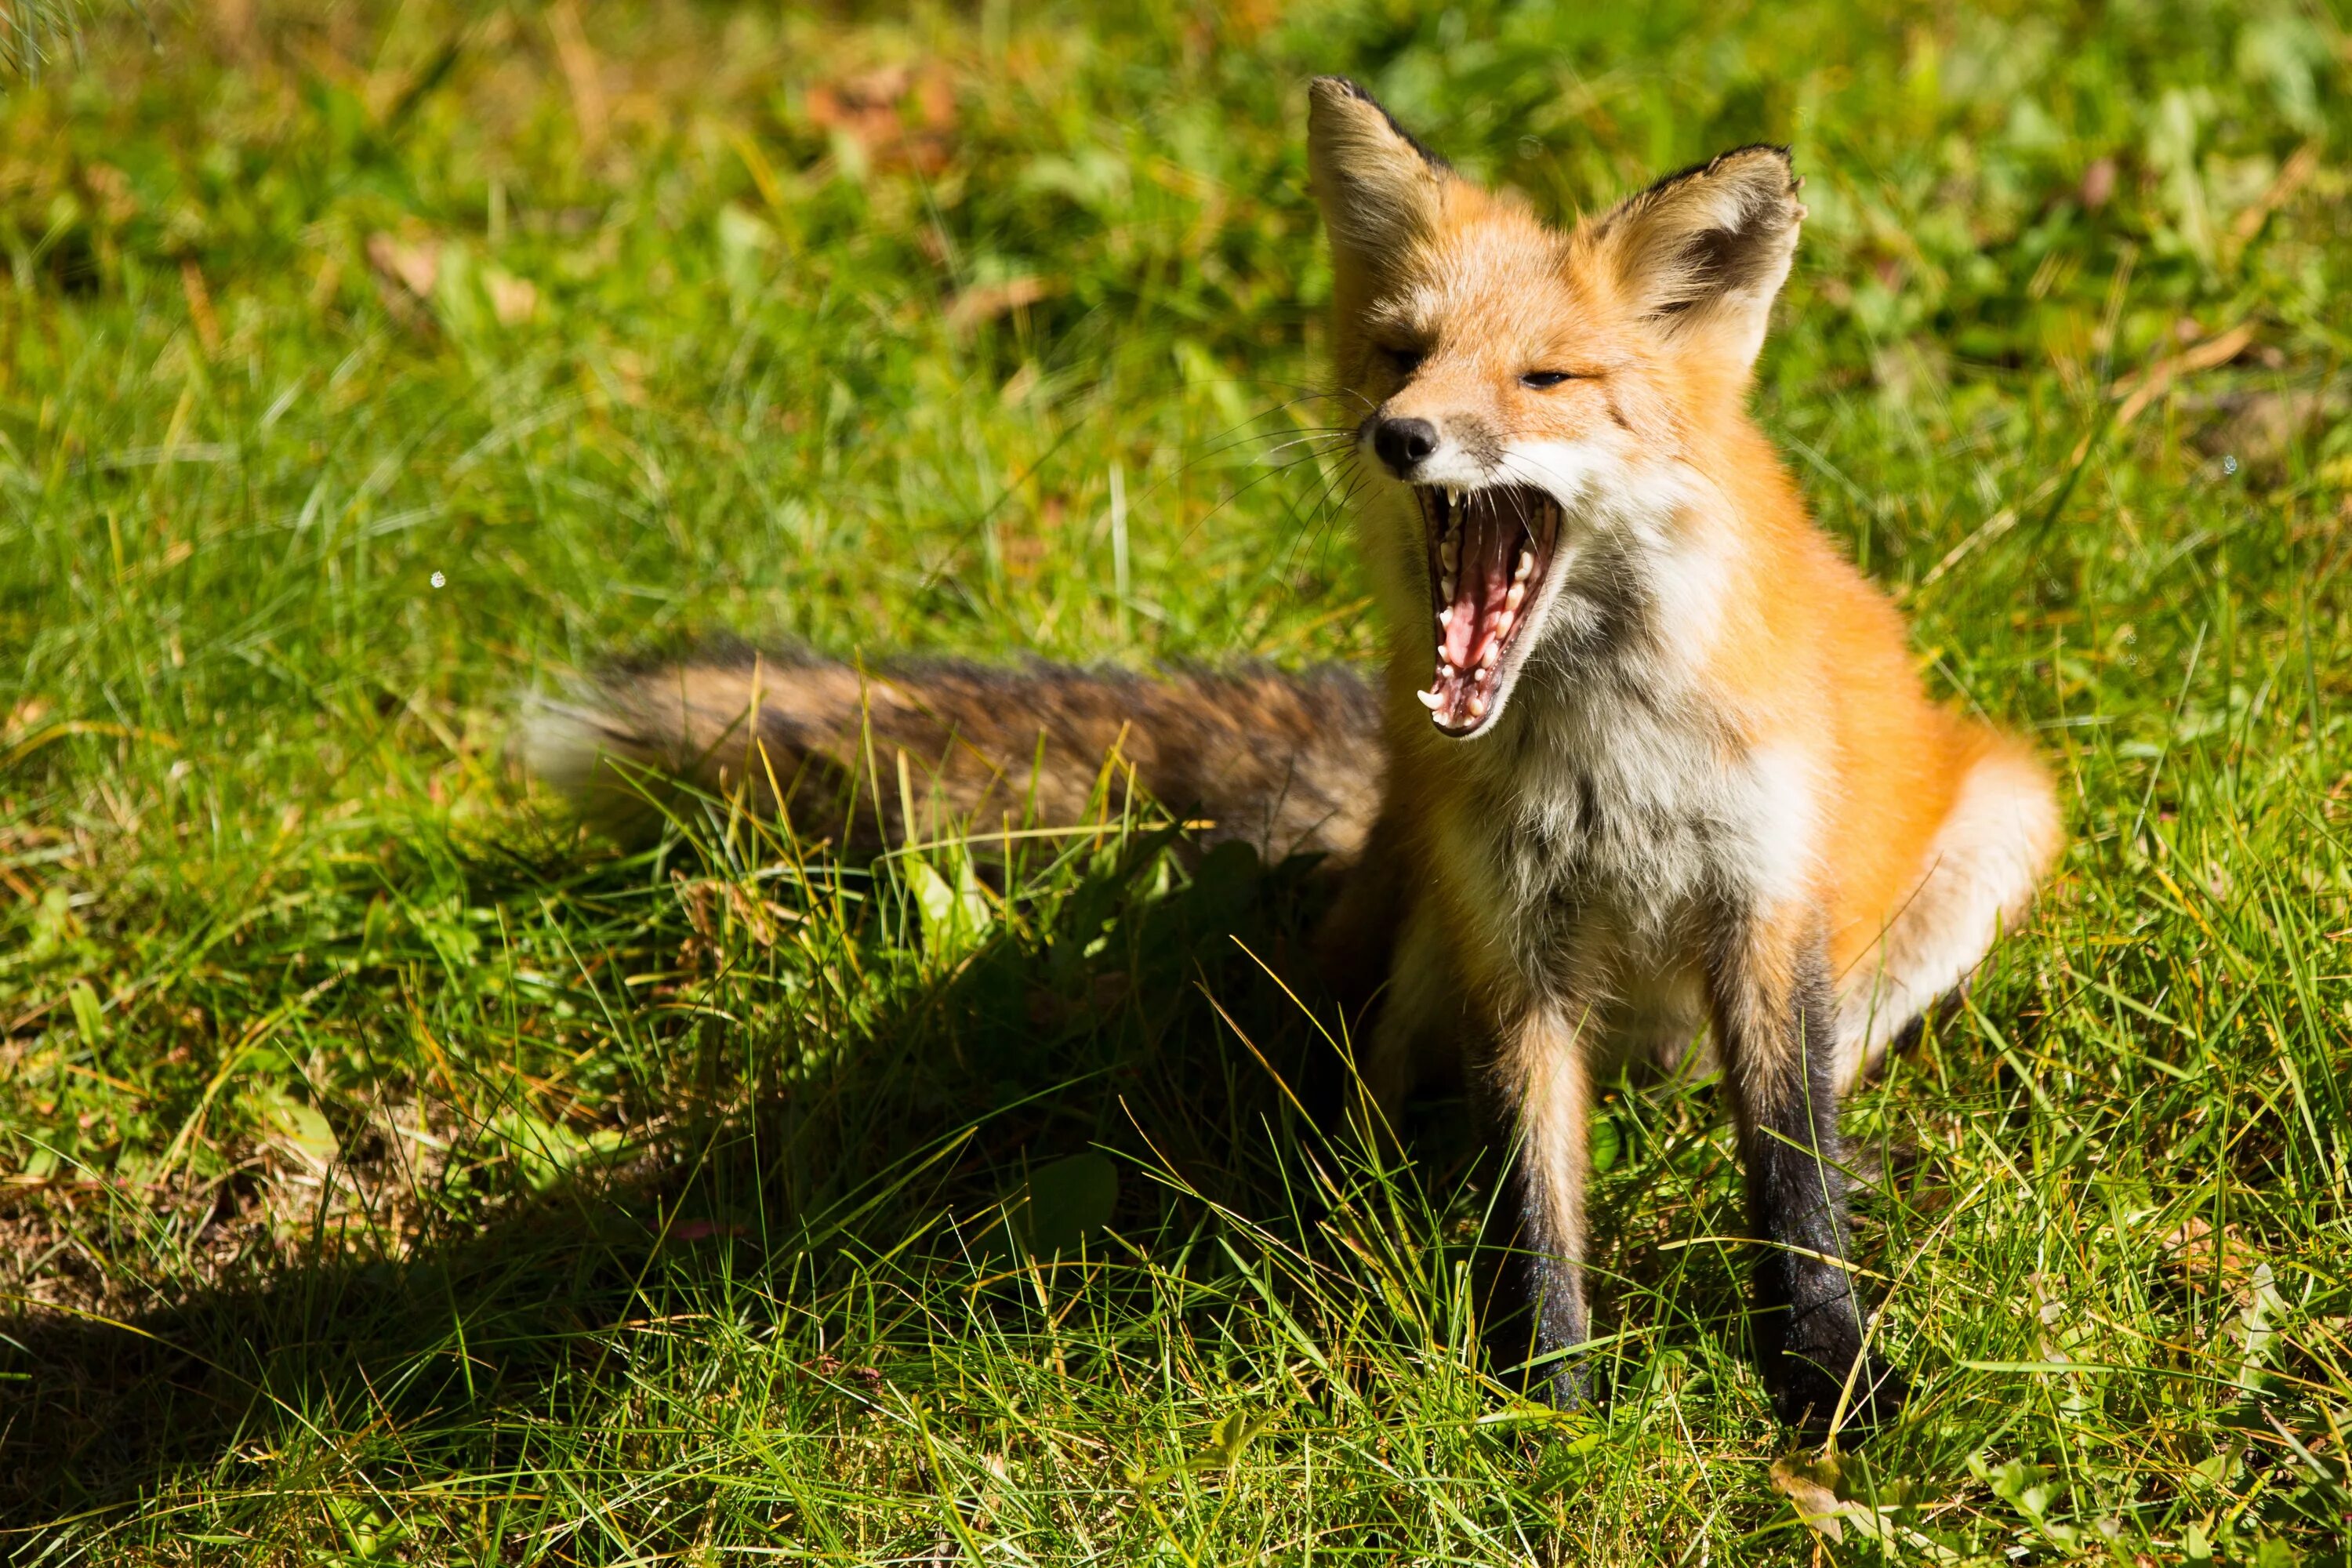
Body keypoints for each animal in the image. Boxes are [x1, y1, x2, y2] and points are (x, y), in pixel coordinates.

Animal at [529, 79, 2060, 1439]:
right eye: (1400, 353)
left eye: (1547, 378)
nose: (1401, 437)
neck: (1606, 758)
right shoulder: (1513, 938)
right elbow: (1532, 1208)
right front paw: (1550, 1411)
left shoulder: (1763, 906)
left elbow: (1794, 1182)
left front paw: (1829, 1386)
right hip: (1424, 948)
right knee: (1370, 1106)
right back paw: (1342, 1213)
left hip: (1994, 835)